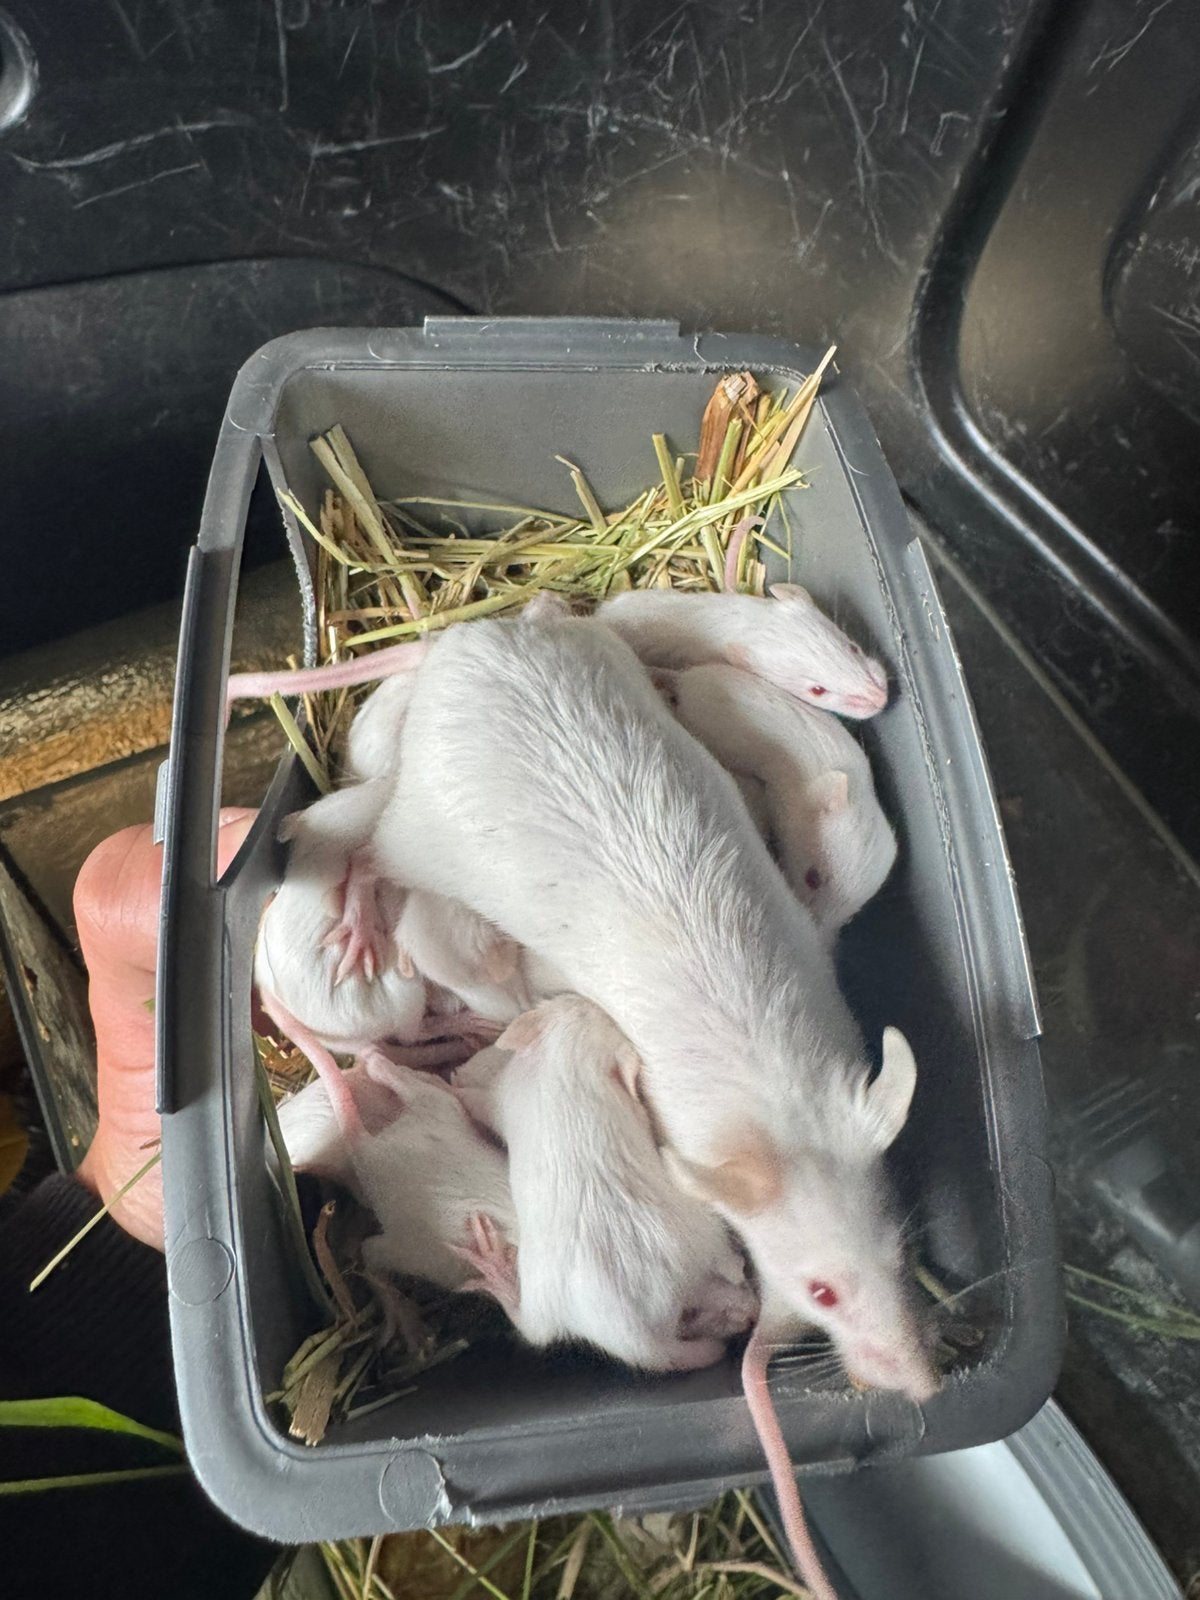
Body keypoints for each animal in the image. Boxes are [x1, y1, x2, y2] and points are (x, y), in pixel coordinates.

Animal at [451, 996, 756, 1371]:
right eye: (571, 1004)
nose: (582, 999)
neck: (571, 1067)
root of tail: (633, 1334)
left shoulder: (503, 1093)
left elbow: (479, 1105)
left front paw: (454, 1086)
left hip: (540, 1292)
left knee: (533, 1330)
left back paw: (496, 1272)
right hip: (705, 1247)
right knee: (731, 1272)